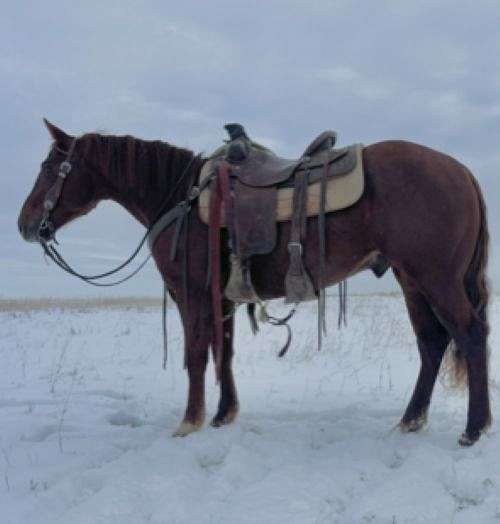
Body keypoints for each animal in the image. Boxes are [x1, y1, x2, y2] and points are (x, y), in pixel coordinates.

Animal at [17, 121, 490, 444]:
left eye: (49, 166)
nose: (24, 225)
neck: (180, 197)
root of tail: (463, 171)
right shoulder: (222, 299)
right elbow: (223, 353)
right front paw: (223, 415)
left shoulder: (192, 294)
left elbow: (196, 356)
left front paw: (189, 422)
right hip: (411, 279)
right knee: (432, 342)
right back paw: (411, 420)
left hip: (436, 278)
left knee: (469, 334)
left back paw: (474, 428)